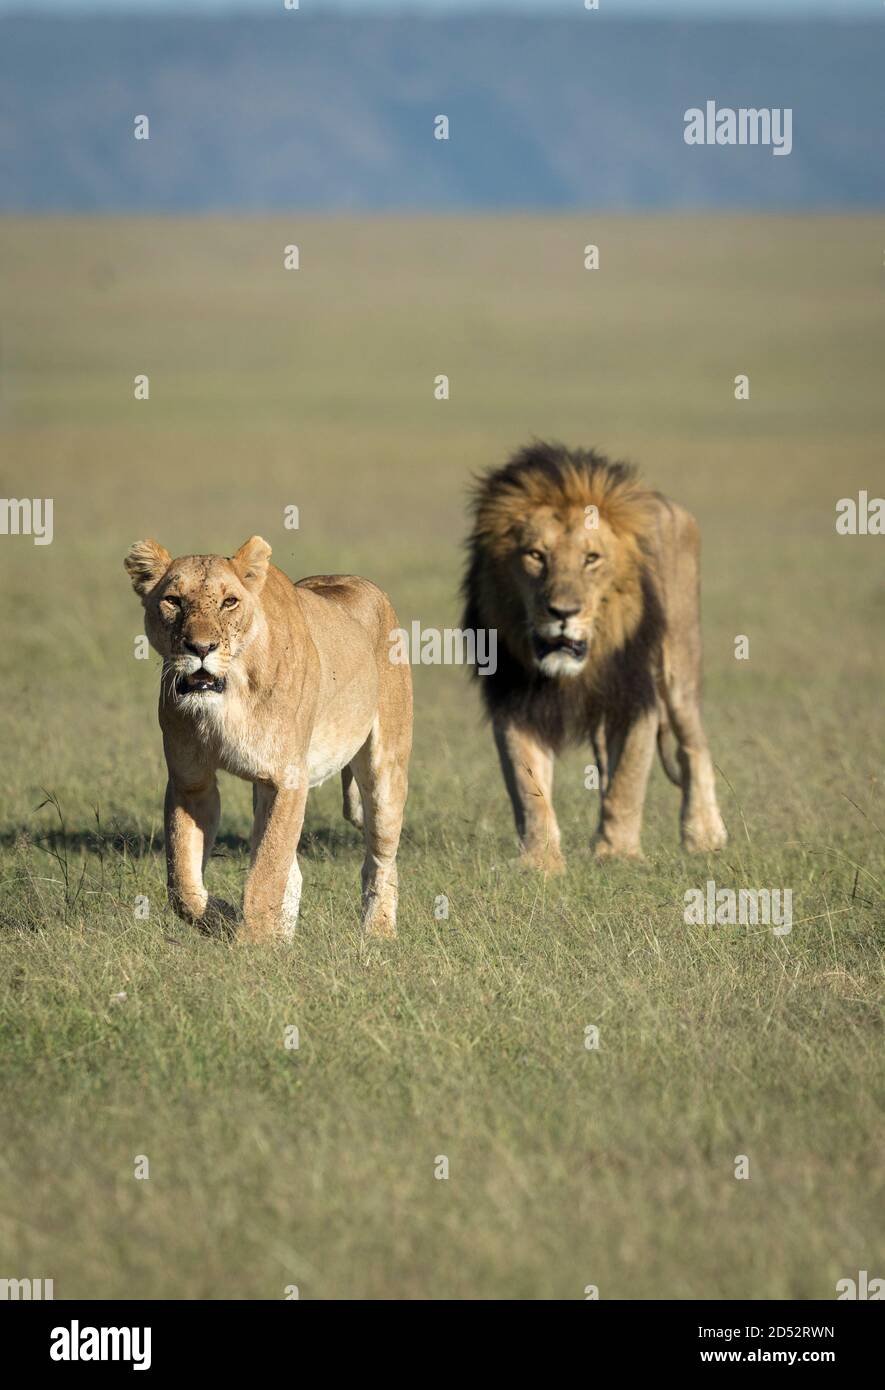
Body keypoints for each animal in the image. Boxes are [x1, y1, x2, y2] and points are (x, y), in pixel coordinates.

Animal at [124, 535, 412, 941]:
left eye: (229, 602)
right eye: (174, 600)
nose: (201, 648)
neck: (228, 698)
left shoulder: (287, 778)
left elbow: (267, 869)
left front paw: (254, 943)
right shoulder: (190, 782)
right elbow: (181, 880)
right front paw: (224, 917)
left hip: (384, 771)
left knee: (381, 857)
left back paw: (378, 932)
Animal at [461, 442, 726, 869]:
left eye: (592, 558)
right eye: (536, 555)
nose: (563, 612)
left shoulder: (636, 691)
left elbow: (629, 779)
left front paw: (617, 854)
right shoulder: (514, 698)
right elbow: (528, 785)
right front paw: (540, 863)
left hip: (679, 666)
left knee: (693, 745)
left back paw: (703, 835)